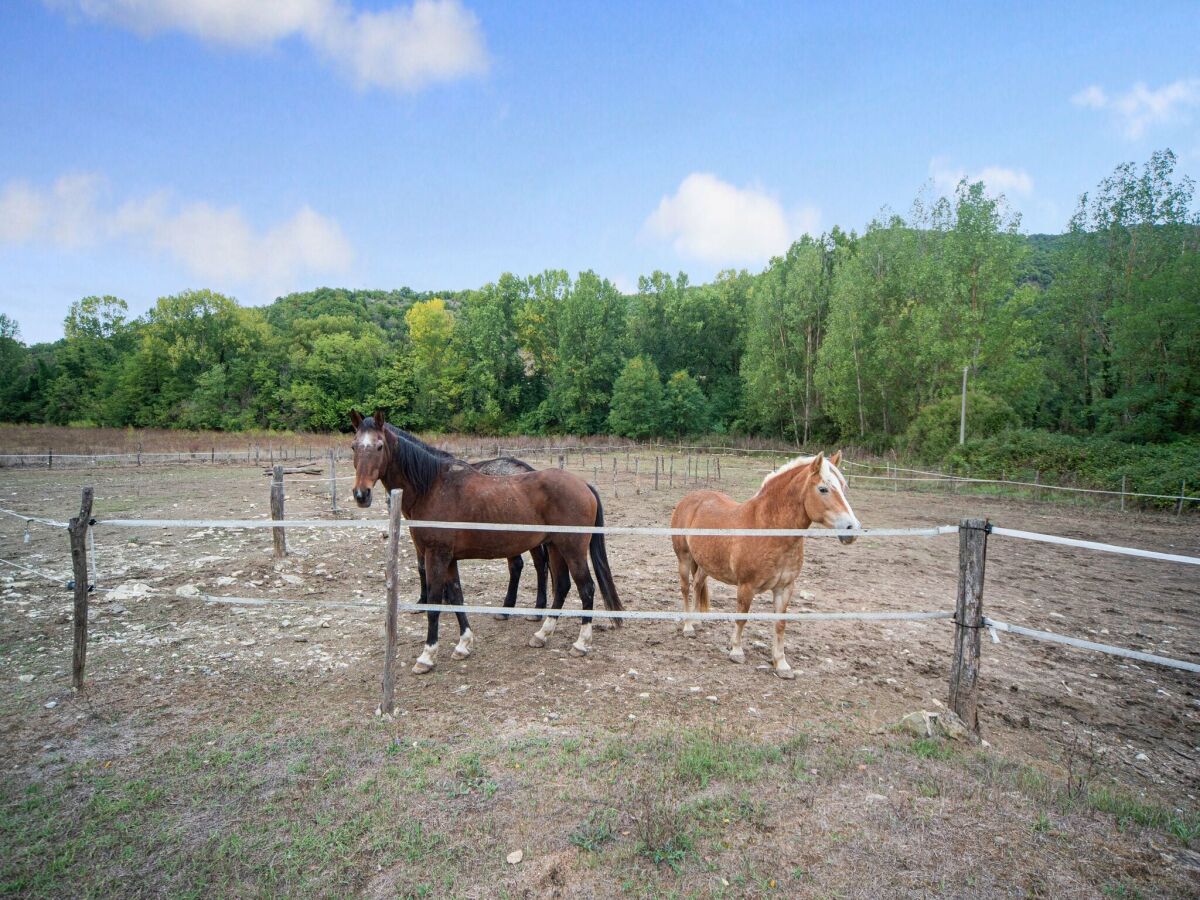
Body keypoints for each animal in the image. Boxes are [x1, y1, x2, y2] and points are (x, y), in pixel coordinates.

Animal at [350, 415, 549, 619]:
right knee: (535, 564)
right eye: (353, 446)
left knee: (528, 565)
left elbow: (423, 567)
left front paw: (425, 600)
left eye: (379, 447)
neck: (427, 484)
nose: (361, 494)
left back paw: (523, 610)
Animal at [672, 453, 859, 681]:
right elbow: (742, 617)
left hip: (706, 564)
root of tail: (690, 499)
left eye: (843, 486)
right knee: (685, 589)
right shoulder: (746, 586)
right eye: (823, 489)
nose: (852, 529)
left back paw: (697, 621)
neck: (768, 528)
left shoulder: (785, 588)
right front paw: (736, 651)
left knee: (698, 585)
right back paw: (688, 626)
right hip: (684, 559)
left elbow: (780, 624)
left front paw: (781, 664)